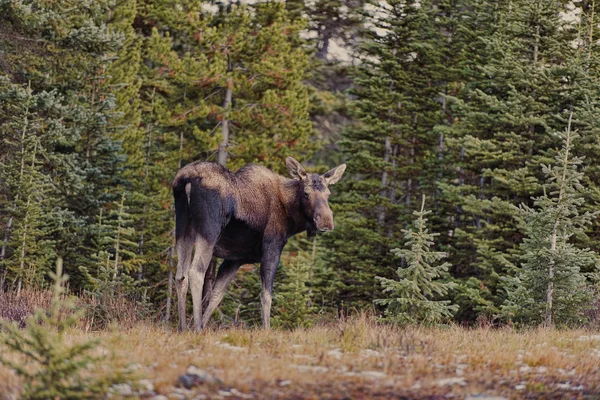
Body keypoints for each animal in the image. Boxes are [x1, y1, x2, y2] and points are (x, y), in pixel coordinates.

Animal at [171, 156, 344, 332]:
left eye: (328, 194)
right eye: (306, 193)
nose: (326, 222)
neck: (291, 218)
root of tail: (186, 179)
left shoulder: (235, 259)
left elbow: (217, 295)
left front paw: (203, 324)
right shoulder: (272, 247)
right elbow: (266, 295)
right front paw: (266, 329)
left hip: (183, 227)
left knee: (181, 275)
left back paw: (183, 327)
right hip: (208, 232)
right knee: (195, 271)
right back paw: (197, 328)